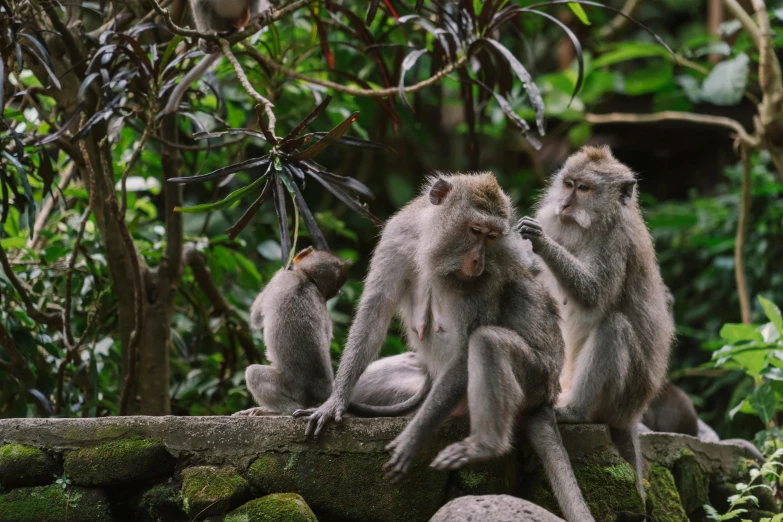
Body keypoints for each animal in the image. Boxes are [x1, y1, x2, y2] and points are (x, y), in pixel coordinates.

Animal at [294, 174, 596, 520]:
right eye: (475, 230)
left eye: (492, 236)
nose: (478, 260)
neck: (431, 243)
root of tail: (548, 397)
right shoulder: (399, 237)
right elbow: (375, 312)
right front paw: (335, 401)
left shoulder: (486, 275)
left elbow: (467, 348)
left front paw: (412, 439)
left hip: (538, 378)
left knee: (487, 343)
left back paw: (484, 444)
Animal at [516, 144, 676, 502]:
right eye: (568, 184)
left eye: (584, 189)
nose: (564, 204)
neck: (593, 226)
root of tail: (632, 415)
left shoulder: (616, 244)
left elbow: (593, 295)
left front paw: (542, 242)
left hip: (625, 397)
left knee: (614, 327)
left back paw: (575, 411)